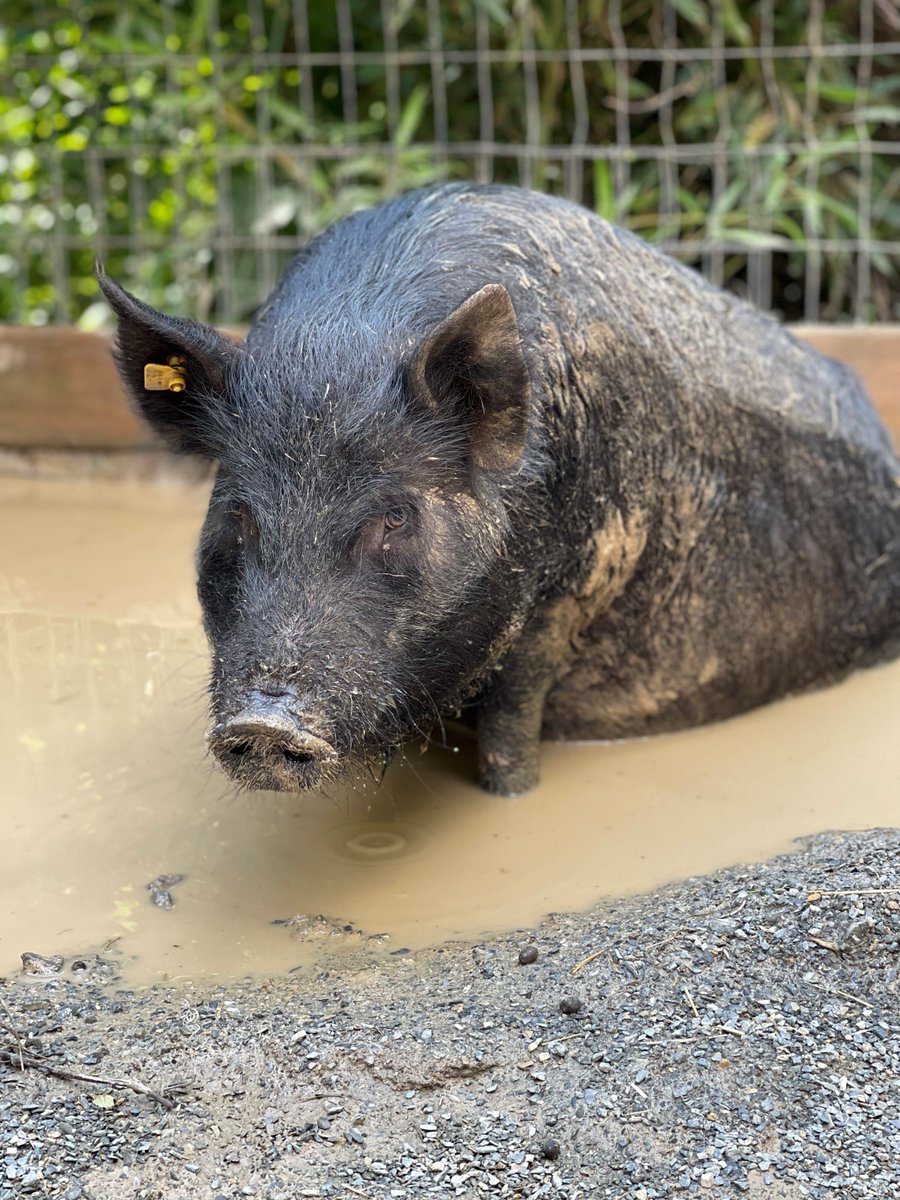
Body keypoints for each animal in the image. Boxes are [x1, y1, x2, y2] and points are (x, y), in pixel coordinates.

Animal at [97, 183, 900, 797]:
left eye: (395, 516)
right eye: (238, 512)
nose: (261, 724)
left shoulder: (571, 588)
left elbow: (513, 725)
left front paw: (511, 796)